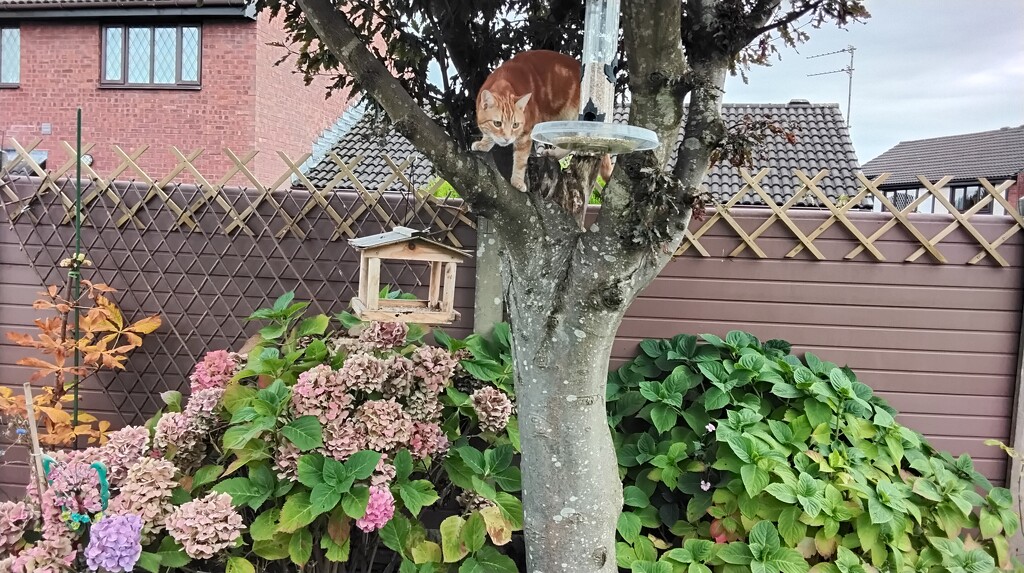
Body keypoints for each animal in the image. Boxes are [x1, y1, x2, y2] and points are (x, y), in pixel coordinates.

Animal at [468, 50, 610, 191]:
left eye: (515, 125)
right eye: (497, 123)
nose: (507, 139)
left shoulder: (526, 134)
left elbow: (520, 160)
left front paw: (517, 181)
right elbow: (488, 135)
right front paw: (483, 144)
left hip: (571, 120)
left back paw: (555, 153)